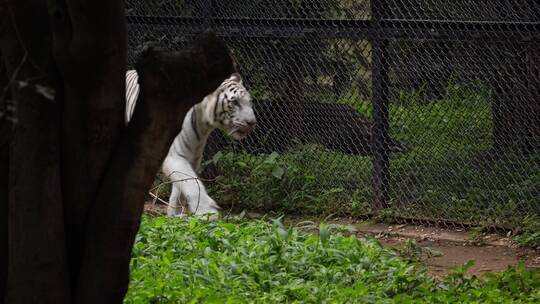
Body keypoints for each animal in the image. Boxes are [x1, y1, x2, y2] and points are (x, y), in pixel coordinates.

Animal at [125, 69, 256, 216]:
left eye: (249, 102)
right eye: (235, 102)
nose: (252, 123)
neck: (203, 125)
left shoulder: (192, 159)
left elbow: (180, 188)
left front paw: (174, 215)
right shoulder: (174, 157)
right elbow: (192, 184)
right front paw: (207, 212)